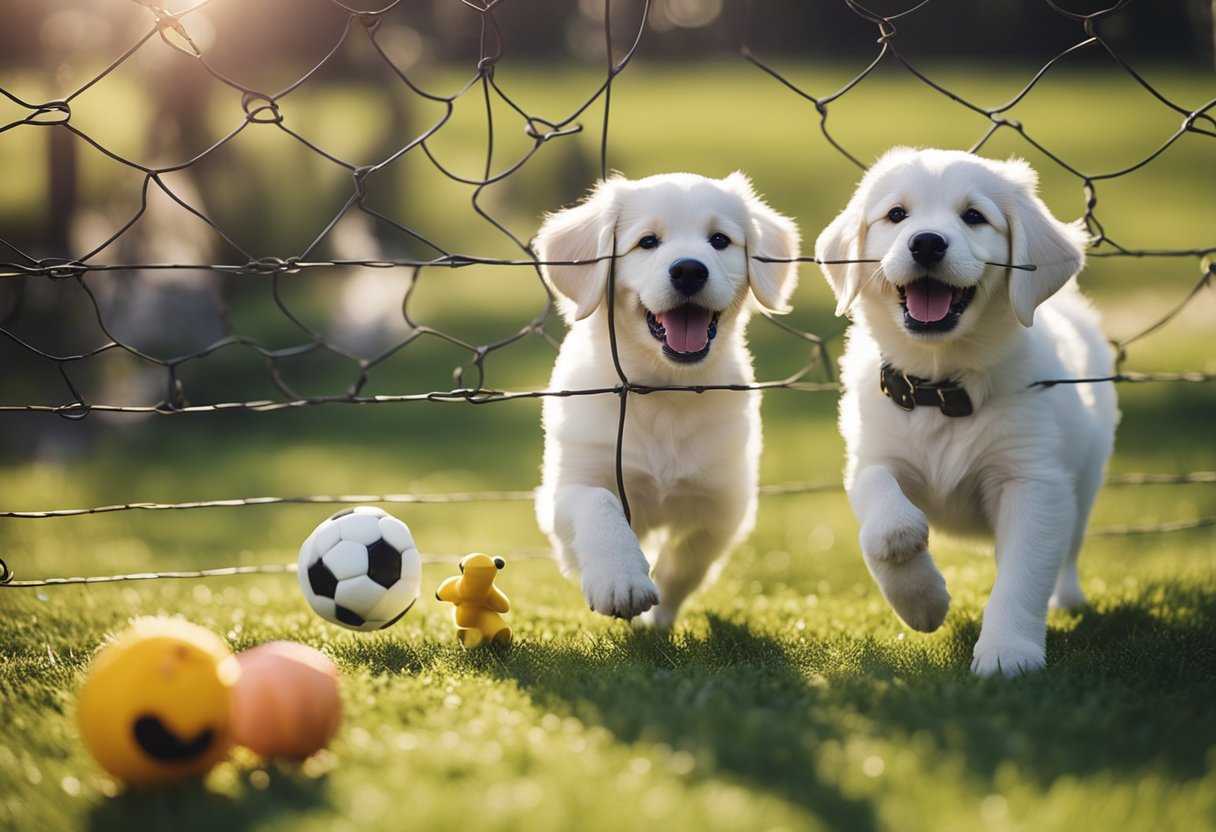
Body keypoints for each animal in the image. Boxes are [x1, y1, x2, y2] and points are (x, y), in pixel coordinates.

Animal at [537, 170, 802, 622]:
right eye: (647, 242)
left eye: (719, 240)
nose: (689, 270)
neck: (665, 388)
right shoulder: (566, 484)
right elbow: (598, 502)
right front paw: (620, 580)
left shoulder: (723, 501)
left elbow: (686, 560)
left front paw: (657, 613)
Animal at [817, 145, 1118, 671]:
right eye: (896, 215)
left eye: (974, 217)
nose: (927, 243)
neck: (941, 386)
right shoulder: (871, 457)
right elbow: (887, 524)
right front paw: (922, 601)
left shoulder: (1034, 482)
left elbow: (1022, 576)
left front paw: (1007, 653)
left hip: (1086, 477)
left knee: (1068, 551)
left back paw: (1070, 600)